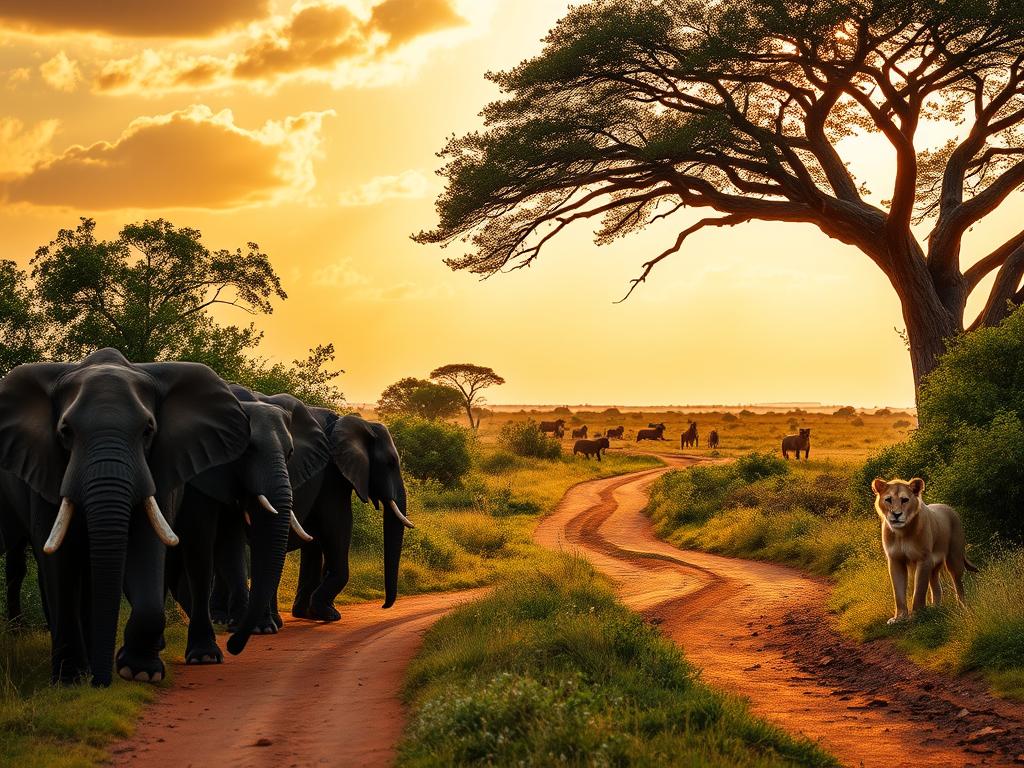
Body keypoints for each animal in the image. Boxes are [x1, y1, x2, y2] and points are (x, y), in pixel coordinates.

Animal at [0, 349, 249, 686]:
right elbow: (59, 562)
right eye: (65, 432)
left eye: (148, 431)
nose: (102, 684)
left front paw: (138, 671)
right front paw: (68, 680)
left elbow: (145, 548)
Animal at [168, 392, 329, 664]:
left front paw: (256, 628)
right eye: (247, 449)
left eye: (290, 453)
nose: (233, 646)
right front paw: (210, 652)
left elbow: (232, 543)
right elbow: (207, 541)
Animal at [212, 395, 412, 627]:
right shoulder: (331, 475)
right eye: (390, 463)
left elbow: (316, 539)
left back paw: (223, 619)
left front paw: (308, 614)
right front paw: (328, 614)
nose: (384, 606)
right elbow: (338, 525)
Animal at [871, 477, 978, 624]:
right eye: (888, 500)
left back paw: (962, 607)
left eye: (904, 500)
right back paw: (935, 608)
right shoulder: (895, 560)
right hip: (934, 565)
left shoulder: (924, 559)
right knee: (936, 586)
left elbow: (920, 590)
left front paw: (917, 615)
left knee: (958, 584)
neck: (901, 532)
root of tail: (949, 508)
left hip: (954, 558)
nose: (896, 514)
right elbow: (898, 592)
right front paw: (899, 617)